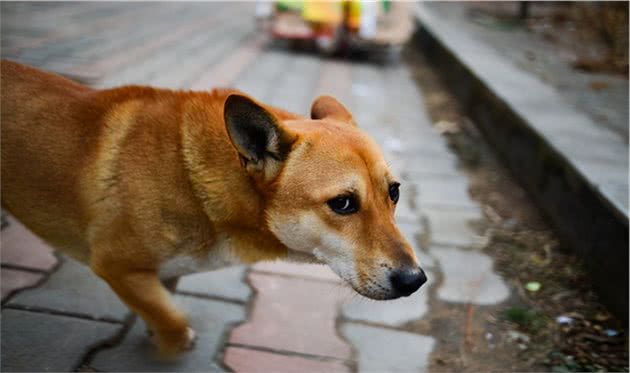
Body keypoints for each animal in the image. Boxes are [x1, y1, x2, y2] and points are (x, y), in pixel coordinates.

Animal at [1, 60, 430, 354]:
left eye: (394, 192)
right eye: (342, 204)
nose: (415, 280)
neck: (189, 178)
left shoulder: (163, 273)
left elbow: (164, 310)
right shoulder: (115, 265)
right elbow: (173, 323)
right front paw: (170, 344)